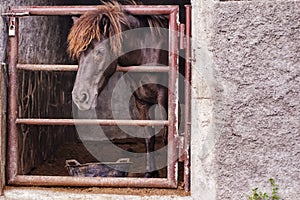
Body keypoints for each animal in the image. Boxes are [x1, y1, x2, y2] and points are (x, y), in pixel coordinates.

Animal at [67, 0, 169, 177]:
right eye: (78, 54)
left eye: (100, 52)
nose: (80, 97)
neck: (146, 51)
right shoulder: (142, 100)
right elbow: (149, 137)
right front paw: (150, 174)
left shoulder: (164, 98)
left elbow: (167, 136)